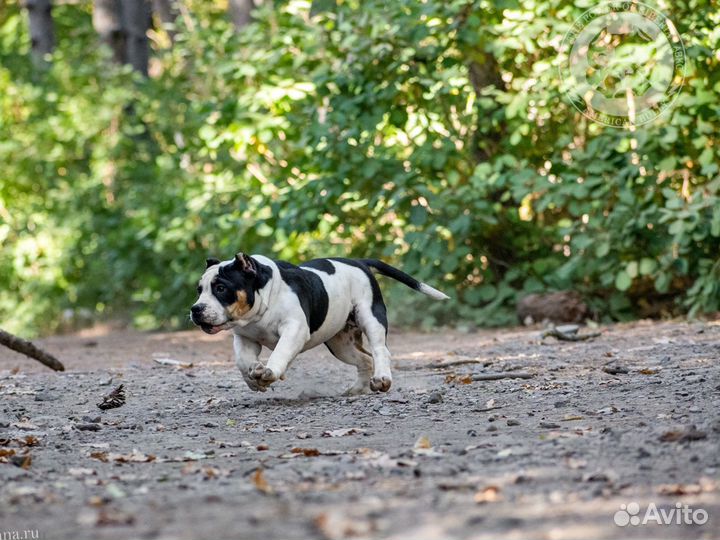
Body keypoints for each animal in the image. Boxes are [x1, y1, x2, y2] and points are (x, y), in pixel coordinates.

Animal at [188, 253, 448, 392]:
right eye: (199, 290)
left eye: (221, 288)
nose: (195, 309)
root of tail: (359, 262)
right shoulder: (244, 338)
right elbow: (242, 361)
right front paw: (254, 378)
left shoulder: (294, 329)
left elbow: (280, 350)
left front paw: (269, 371)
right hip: (340, 343)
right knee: (364, 359)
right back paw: (358, 389)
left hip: (370, 317)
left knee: (380, 350)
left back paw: (382, 379)